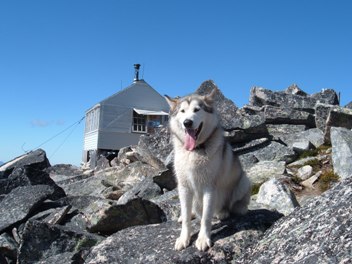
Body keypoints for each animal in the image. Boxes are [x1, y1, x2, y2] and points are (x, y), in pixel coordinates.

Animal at [165, 87, 250, 251]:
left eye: (197, 110)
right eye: (182, 111)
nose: (187, 122)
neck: (194, 151)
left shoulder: (209, 187)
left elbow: (205, 217)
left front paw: (203, 239)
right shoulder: (184, 187)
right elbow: (186, 218)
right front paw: (184, 238)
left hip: (244, 181)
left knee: (234, 205)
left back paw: (225, 211)